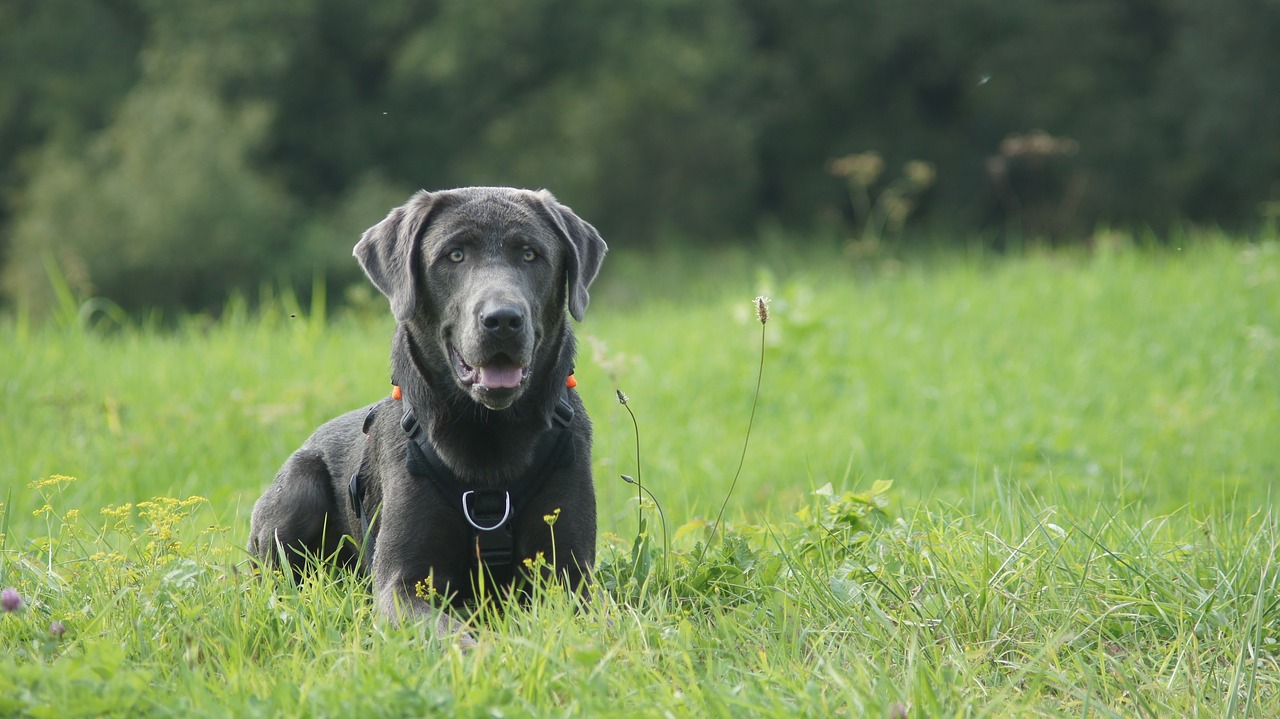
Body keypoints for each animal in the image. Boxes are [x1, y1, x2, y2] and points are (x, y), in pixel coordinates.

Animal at [252, 184, 611, 644]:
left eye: (530, 254)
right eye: (454, 255)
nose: (502, 319)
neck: (490, 435)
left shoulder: (572, 574)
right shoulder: (402, 582)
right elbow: (452, 633)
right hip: (298, 489)